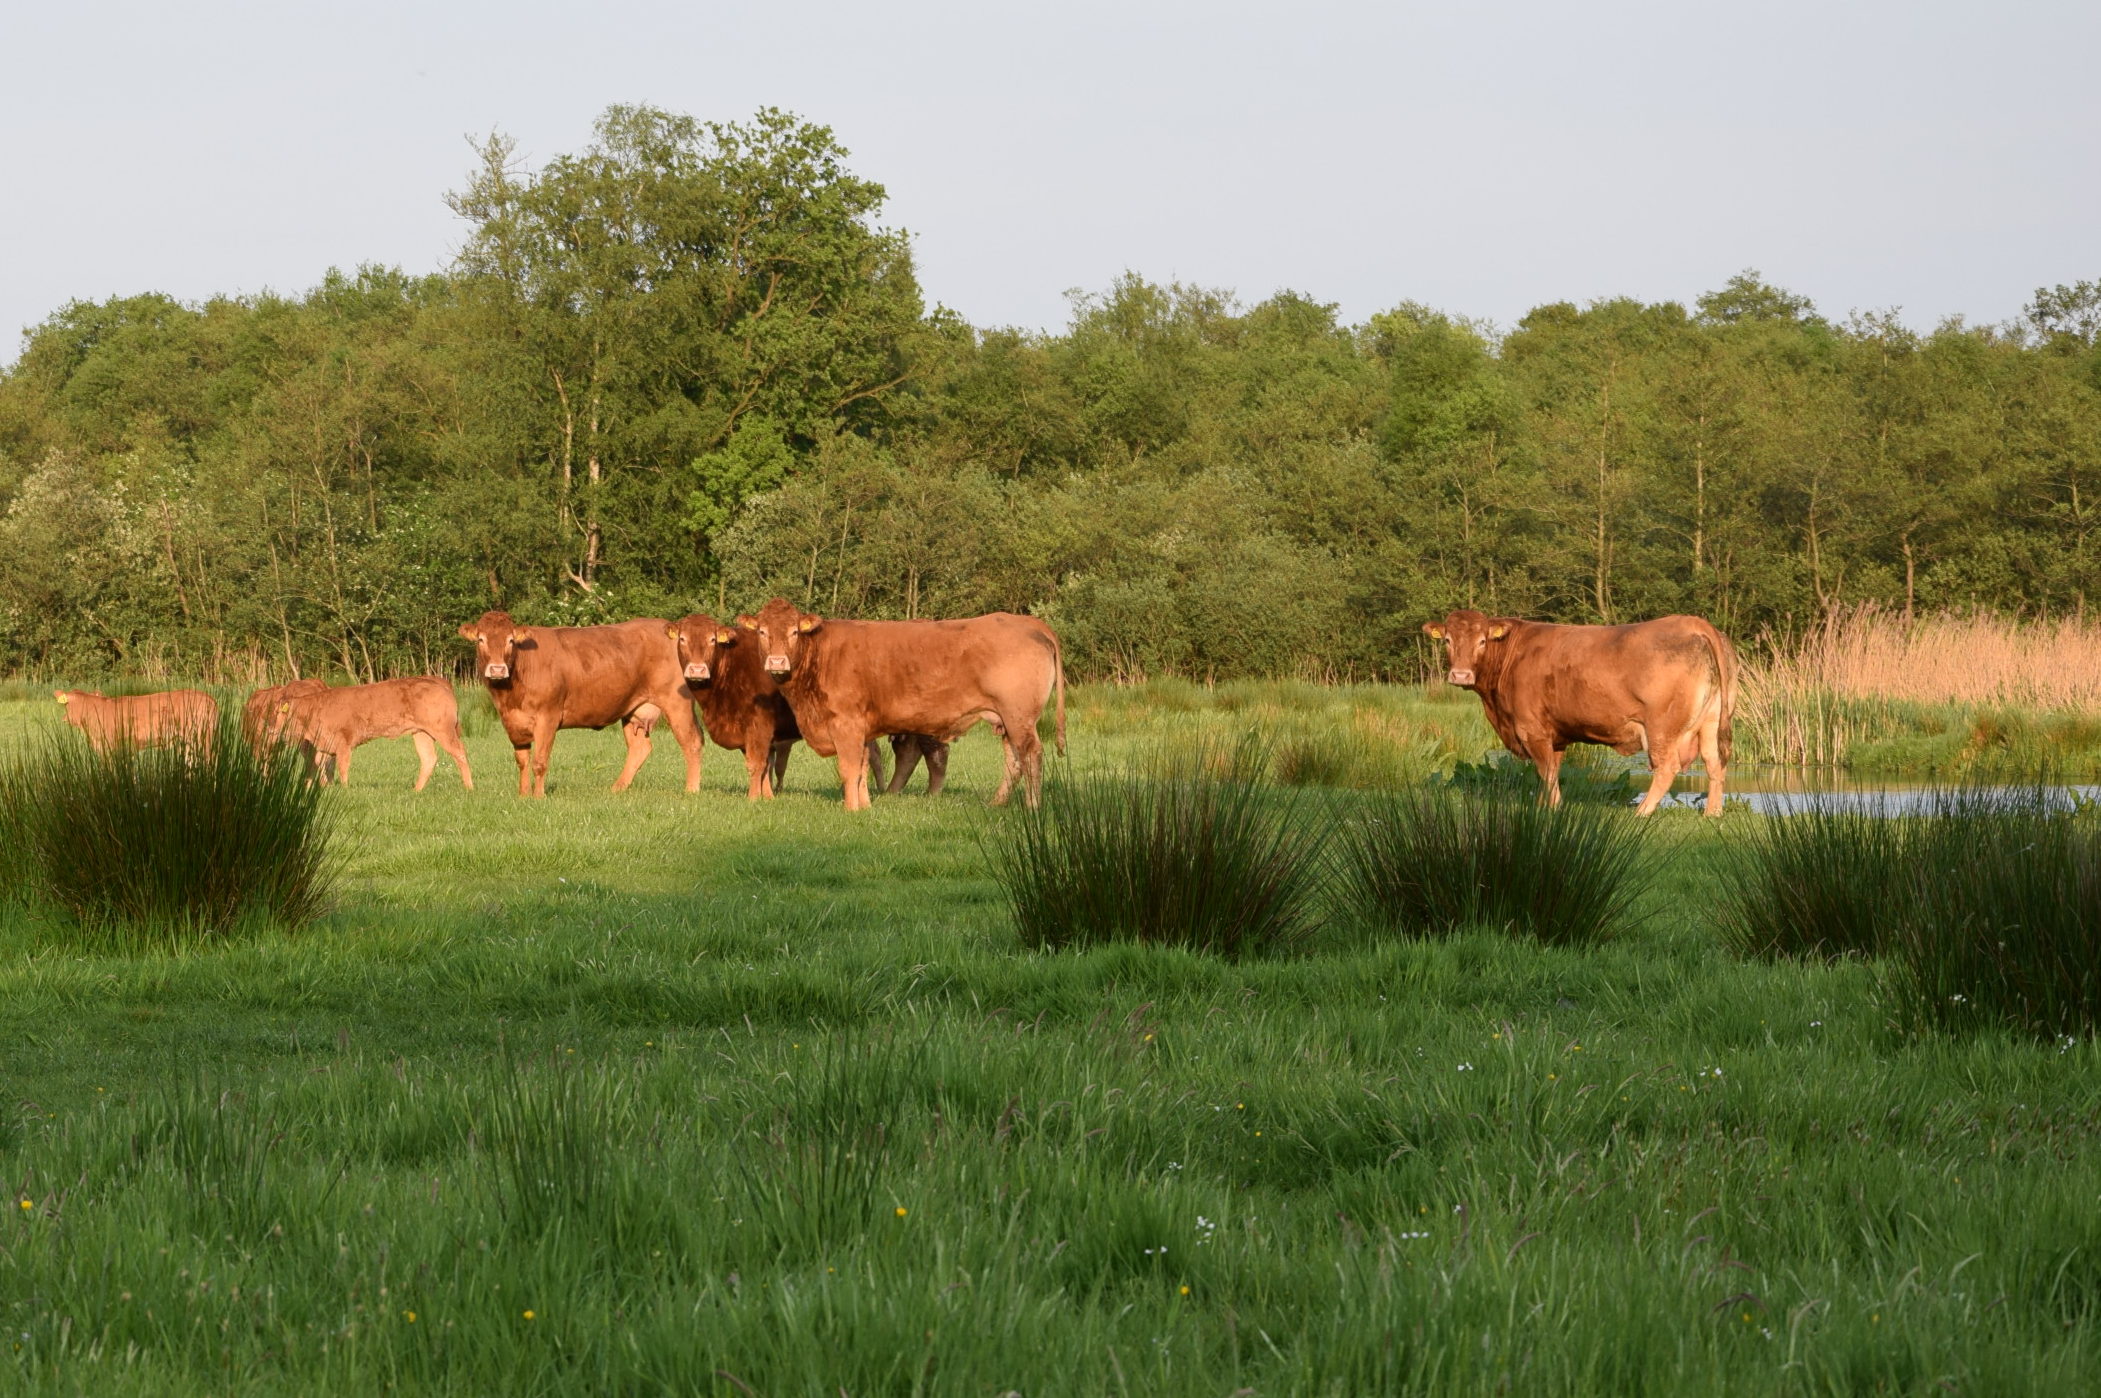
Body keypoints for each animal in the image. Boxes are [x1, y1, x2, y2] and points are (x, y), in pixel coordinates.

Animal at [268, 676, 474, 790]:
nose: (270, 727)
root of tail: (438, 682)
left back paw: (469, 788)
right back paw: (416, 790)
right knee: (428, 758)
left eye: (278, 712)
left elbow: (342, 769)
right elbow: (321, 768)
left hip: (443, 731)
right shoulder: (324, 746)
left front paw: (344, 791)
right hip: (422, 733)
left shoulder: (343, 744)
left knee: (460, 753)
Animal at [455, 609, 701, 794]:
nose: (497, 669)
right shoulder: (512, 721)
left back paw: (691, 789)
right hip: (633, 709)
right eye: (481, 640)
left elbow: (539, 762)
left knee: (692, 742)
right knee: (640, 748)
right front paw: (523, 795)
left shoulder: (548, 717)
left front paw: (538, 796)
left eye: (511, 641)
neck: (510, 695)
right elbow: (522, 761)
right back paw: (616, 789)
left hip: (677, 703)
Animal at [1428, 605, 1739, 811]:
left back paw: (1641, 813)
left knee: (1667, 768)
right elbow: (1550, 772)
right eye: (1448, 640)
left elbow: (1546, 772)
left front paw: (1554, 809)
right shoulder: (1554, 736)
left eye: (1482, 641)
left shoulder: (1532, 729)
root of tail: (1693, 623)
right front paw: (1541, 807)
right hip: (1712, 721)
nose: (1460, 675)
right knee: (1715, 763)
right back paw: (1713, 814)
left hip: (1661, 728)